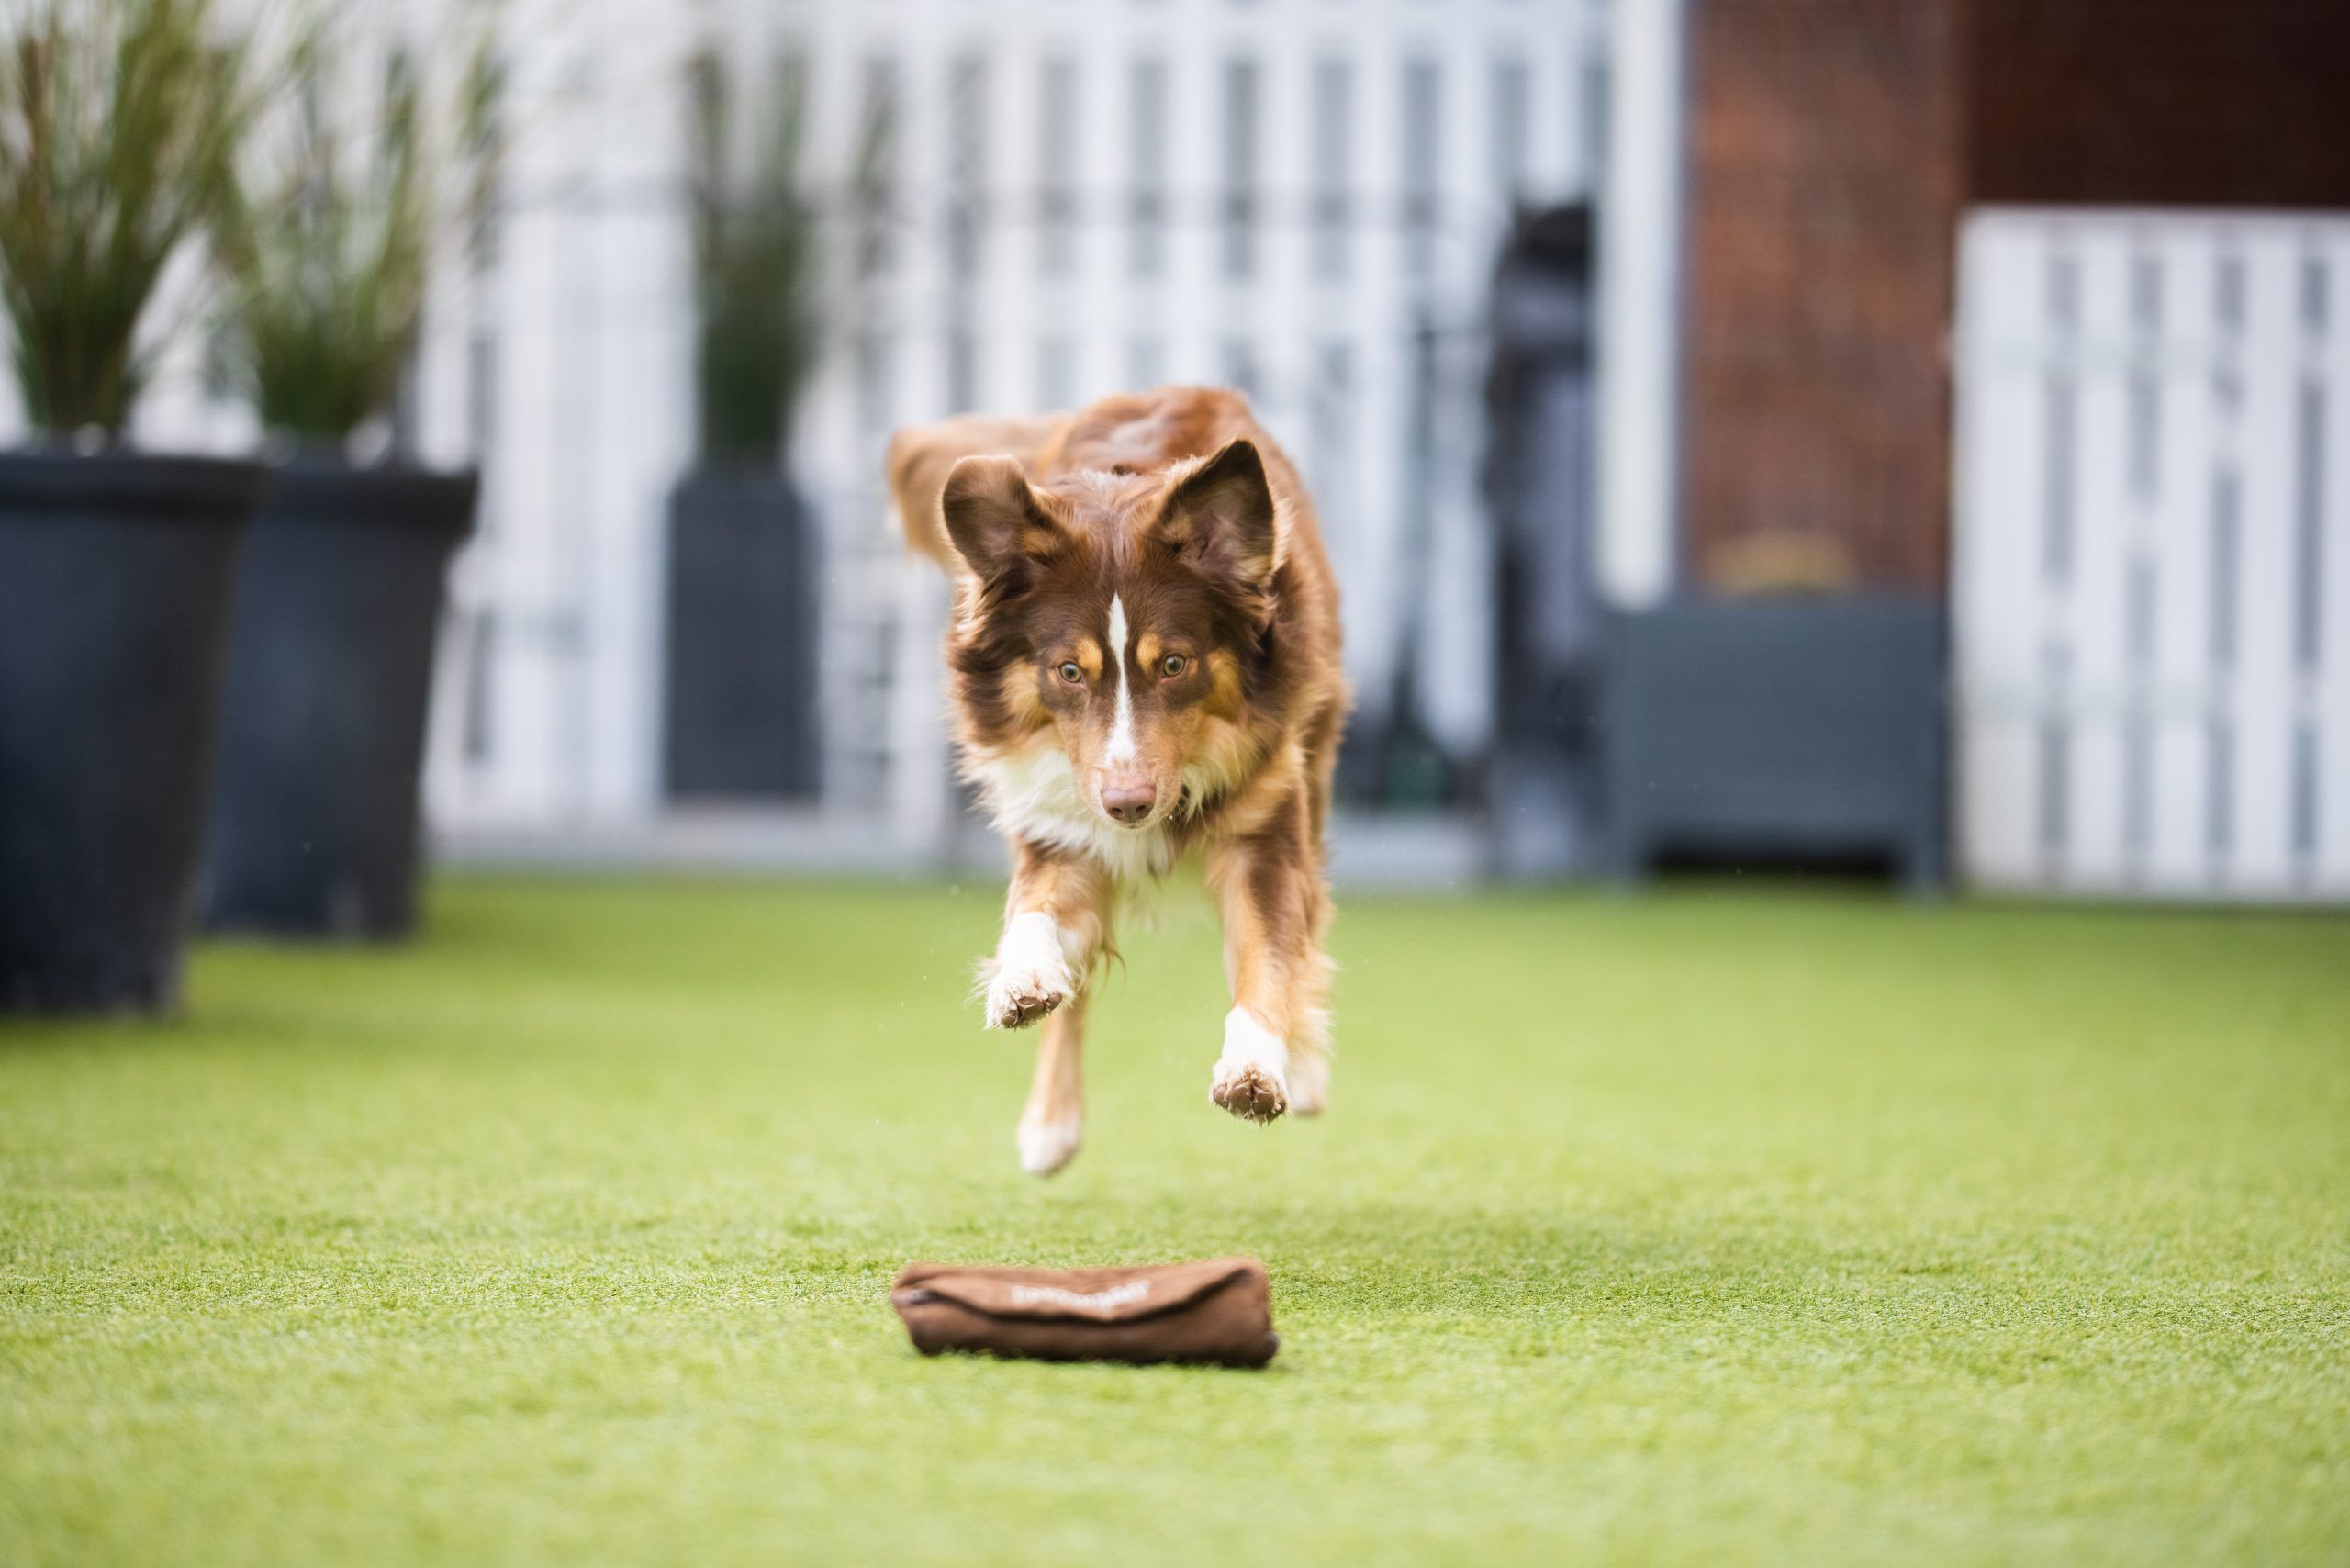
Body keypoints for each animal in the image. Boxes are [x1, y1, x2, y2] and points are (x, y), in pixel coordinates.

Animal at [887, 386, 1349, 1175]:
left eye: (1176, 664)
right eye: (1069, 671)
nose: (1127, 806)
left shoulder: (1265, 832)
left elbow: (1272, 954)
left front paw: (1259, 1065)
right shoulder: (1060, 827)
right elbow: (1034, 915)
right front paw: (1021, 979)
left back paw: (1309, 1068)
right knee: (1073, 997)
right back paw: (1049, 1124)